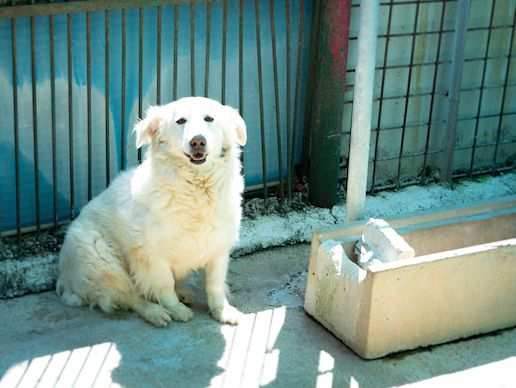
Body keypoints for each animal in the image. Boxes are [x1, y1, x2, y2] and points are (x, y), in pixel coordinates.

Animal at [56, 97, 248, 328]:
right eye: (180, 121)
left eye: (209, 118)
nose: (198, 142)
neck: (194, 190)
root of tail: (65, 280)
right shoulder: (152, 256)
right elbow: (164, 286)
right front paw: (175, 309)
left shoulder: (218, 249)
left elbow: (214, 286)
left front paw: (222, 311)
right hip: (100, 259)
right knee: (131, 296)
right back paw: (155, 312)